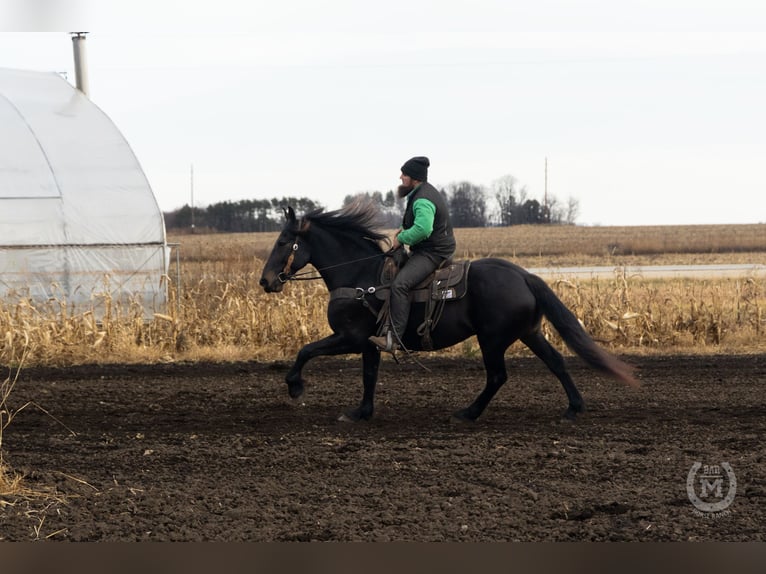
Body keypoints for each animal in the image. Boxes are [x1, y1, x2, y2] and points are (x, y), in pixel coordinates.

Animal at [260, 202, 640, 424]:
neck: (359, 277)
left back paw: (468, 413)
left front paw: (295, 387)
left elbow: (306, 350)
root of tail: (523, 275)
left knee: (497, 376)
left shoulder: (350, 337)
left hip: (492, 339)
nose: (265, 281)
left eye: (283, 241)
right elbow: (369, 376)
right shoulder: (369, 344)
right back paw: (573, 408)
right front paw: (361, 413)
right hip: (528, 333)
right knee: (556, 362)